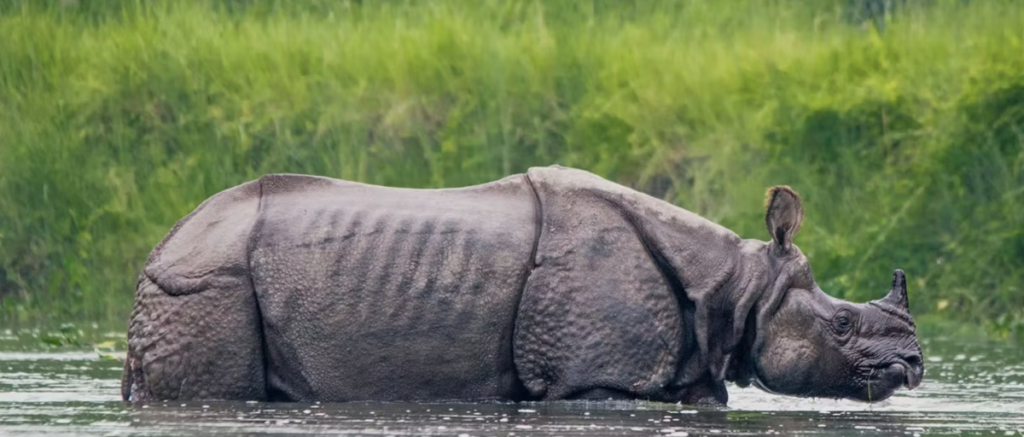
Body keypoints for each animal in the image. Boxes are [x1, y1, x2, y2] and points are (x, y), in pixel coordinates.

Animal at [121, 165, 923, 405]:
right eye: (841, 324)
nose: (914, 364)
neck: (735, 286)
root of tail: (164, 247)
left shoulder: (687, 370)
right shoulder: (596, 381)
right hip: (210, 286)